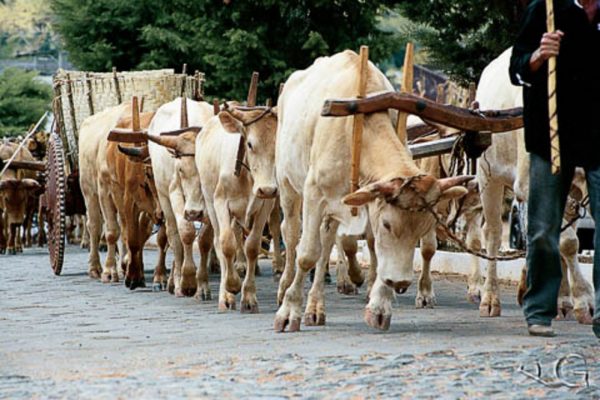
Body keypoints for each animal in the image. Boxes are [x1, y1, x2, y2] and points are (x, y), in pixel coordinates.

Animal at [274, 50, 470, 332]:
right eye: (388, 224)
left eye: (422, 228)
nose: (400, 284)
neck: (358, 126)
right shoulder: (314, 193)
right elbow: (307, 254)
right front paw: (289, 311)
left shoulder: (368, 200)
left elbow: (372, 247)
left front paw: (379, 306)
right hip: (288, 185)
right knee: (290, 236)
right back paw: (284, 288)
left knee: (326, 243)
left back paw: (315, 307)